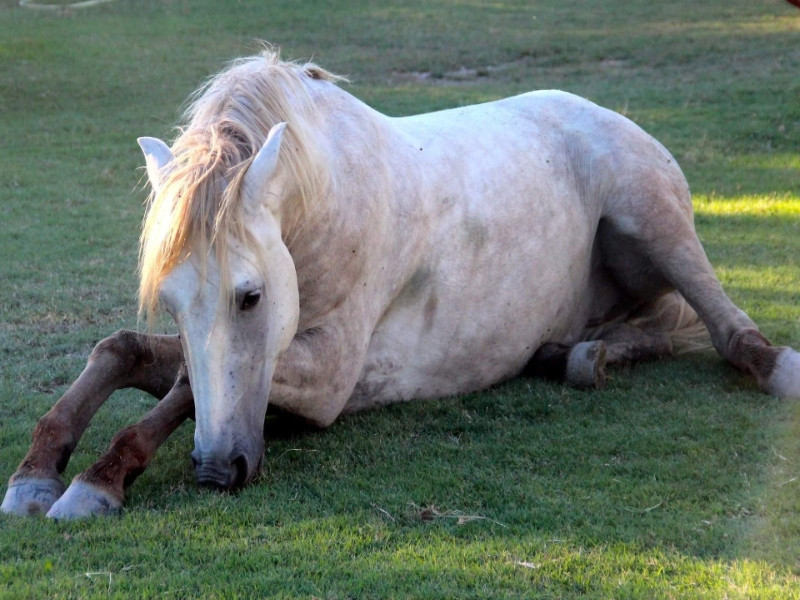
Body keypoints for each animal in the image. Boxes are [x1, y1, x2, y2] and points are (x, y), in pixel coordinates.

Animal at [1, 50, 800, 520]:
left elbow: (185, 389)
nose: (217, 469)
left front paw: (99, 480)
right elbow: (127, 351)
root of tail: (611, 115)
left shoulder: (326, 377)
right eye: (171, 302)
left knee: (724, 330)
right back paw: (575, 355)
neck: (331, 198)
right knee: (656, 327)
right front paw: (39, 472)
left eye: (251, 296)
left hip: (654, 220)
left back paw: (767, 364)